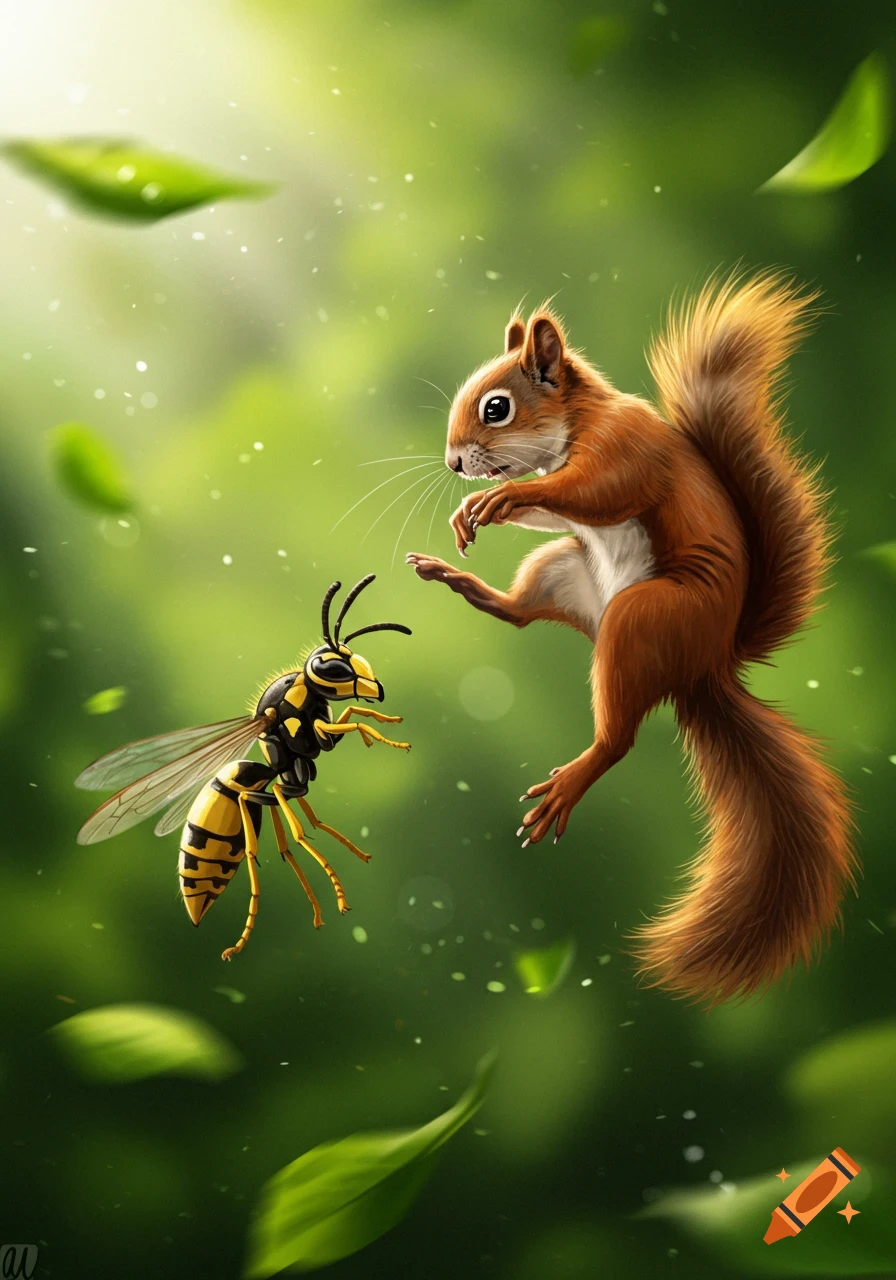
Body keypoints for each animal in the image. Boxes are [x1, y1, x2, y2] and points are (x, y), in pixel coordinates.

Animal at [406, 271, 855, 1006]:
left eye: (497, 408)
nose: (453, 464)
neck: (576, 425)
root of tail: (704, 666)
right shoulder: (560, 511)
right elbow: (551, 506)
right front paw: (473, 512)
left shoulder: (627, 451)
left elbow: (596, 491)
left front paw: (497, 501)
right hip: (562, 571)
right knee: (520, 614)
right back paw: (458, 581)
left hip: (641, 621)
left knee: (617, 737)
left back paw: (571, 781)